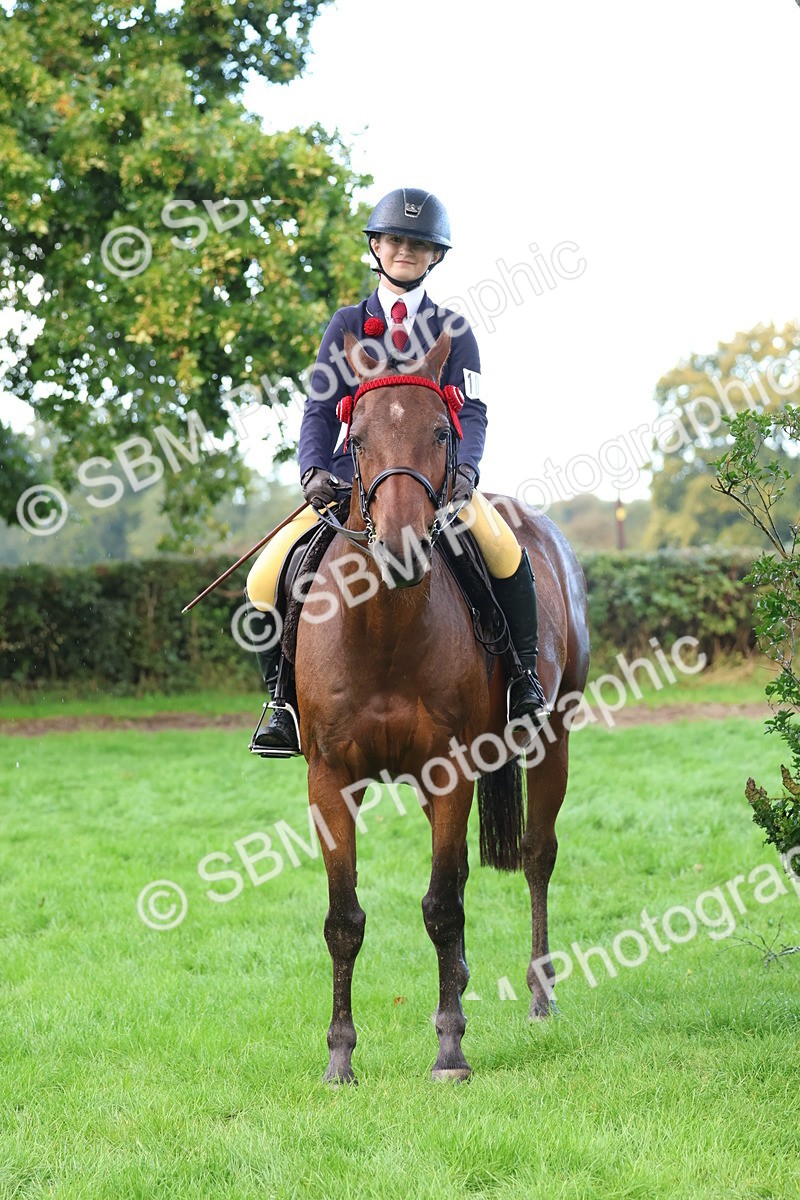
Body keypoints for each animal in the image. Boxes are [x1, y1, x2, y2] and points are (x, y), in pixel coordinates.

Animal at [293, 330, 590, 1083]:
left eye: (439, 430)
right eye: (358, 437)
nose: (403, 549)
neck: (384, 629)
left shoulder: (449, 771)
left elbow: (443, 907)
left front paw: (450, 1048)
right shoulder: (329, 778)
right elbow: (344, 919)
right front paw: (339, 1056)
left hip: (552, 738)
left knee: (537, 855)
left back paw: (540, 995)